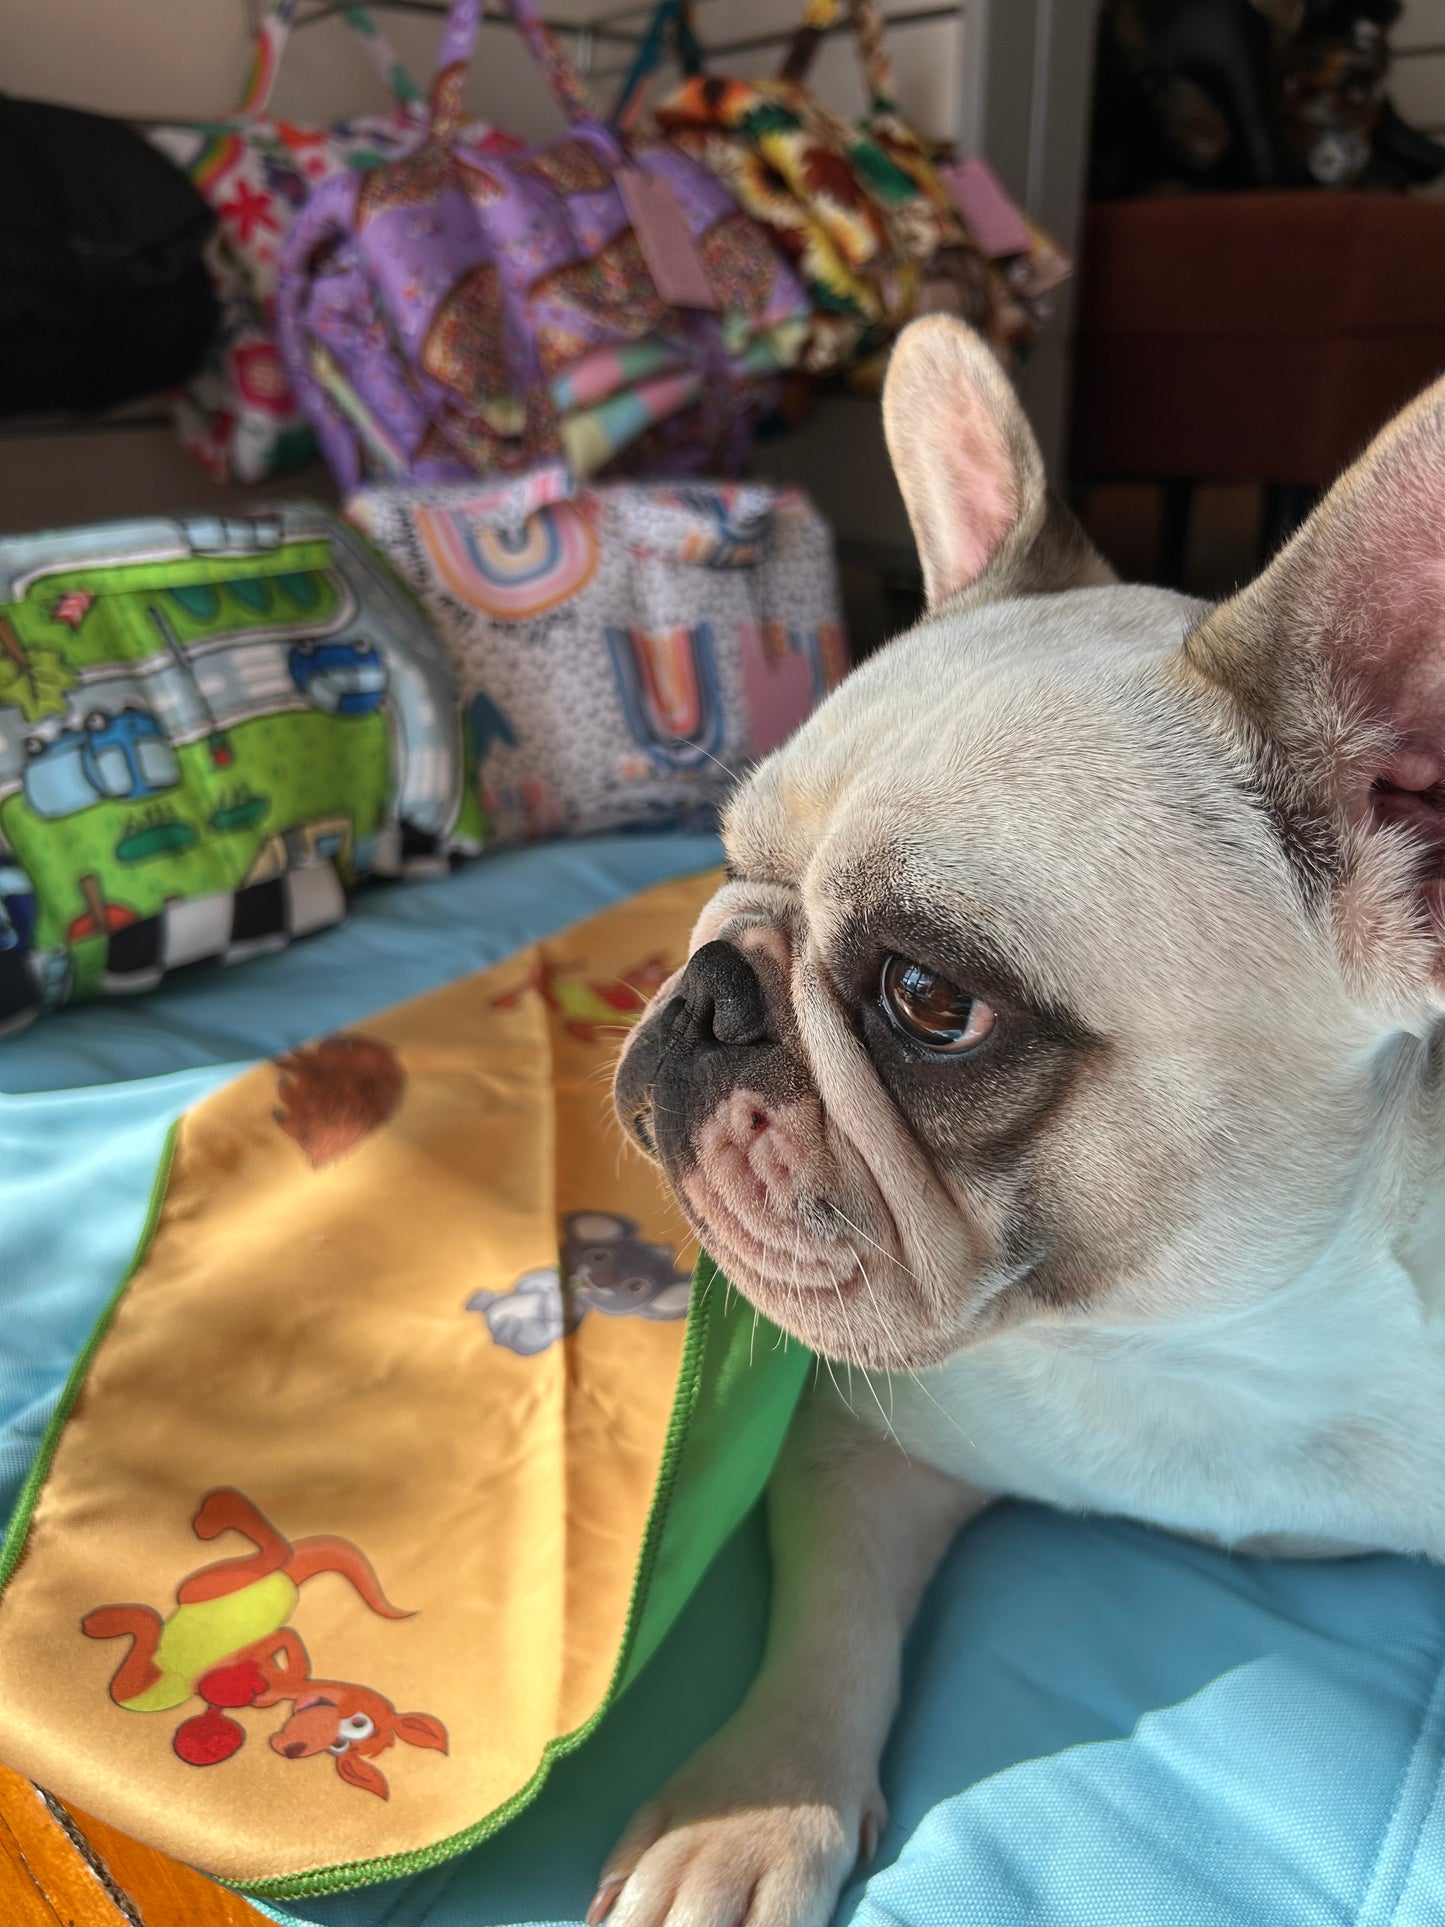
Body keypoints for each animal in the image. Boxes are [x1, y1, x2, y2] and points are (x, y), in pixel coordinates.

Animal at [601, 316, 1445, 1927]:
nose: (706, 994)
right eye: (727, 863)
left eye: (929, 999)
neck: (1213, 1342)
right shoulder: (860, 1447)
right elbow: (824, 1629)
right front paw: (751, 1804)